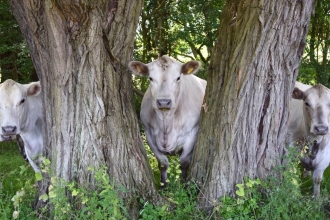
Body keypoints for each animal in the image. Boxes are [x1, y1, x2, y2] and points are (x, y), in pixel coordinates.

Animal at [129, 55, 206, 187]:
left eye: (178, 77)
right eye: (150, 78)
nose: (164, 102)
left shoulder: (193, 132)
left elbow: (184, 162)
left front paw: (184, 184)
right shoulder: (149, 134)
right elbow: (163, 163)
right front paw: (163, 185)